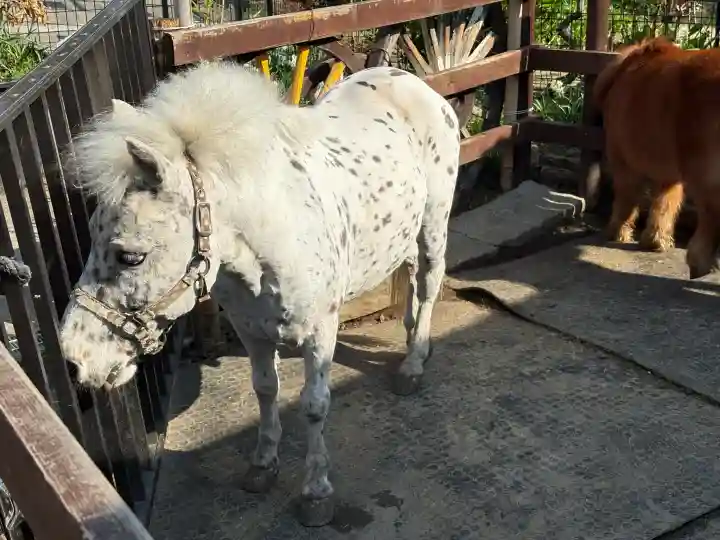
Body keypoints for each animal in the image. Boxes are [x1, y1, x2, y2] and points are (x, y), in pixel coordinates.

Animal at [59, 60, 460, 526]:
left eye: (130, 257)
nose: (73, 357)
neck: (270, 236)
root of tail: (413, 82)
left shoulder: (321, 332)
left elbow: (314, 405)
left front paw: (316, 492)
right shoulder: (250, 330)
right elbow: (265, 390)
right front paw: (263, 464)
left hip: (434, 223)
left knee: (429, 280)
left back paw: (414, 362)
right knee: (411, 270)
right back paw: (414, 336)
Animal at [594, 36, 720, 278]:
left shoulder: (622, 158)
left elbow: (627, 197)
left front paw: (618, 232)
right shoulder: (669, 170)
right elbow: (666, 201)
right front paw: (655, 241)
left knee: (711, 213)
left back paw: (699, 263)